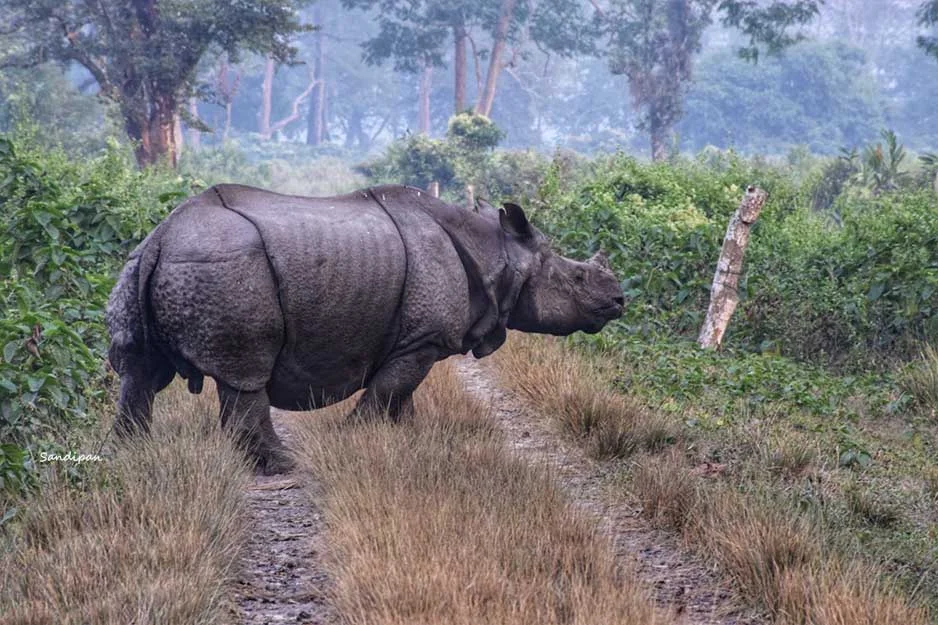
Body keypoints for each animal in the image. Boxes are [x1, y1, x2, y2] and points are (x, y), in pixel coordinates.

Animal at [106, 184, 624, 473]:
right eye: (578, 279)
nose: (619, 301)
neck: (499, 254)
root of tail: (163, 237)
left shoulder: (411, 340)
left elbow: (400, 396)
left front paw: (409, 441)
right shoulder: (422, 339)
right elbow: (386, 392)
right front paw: (351, 439)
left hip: (139, 267)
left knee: (139, 373)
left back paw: (130, 455)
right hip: (226, 266)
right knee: (245, 374)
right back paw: (285, 466)